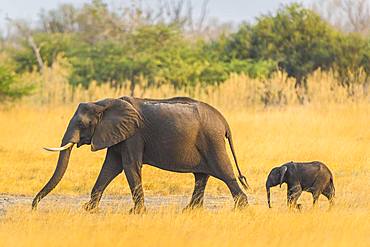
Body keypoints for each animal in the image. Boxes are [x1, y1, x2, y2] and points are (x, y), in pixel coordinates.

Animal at [31, 96, 249, 212]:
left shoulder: (133, 136)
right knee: (201, 176)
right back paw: (189, 211)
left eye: (82, 124)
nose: (34, 207)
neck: (103, 104)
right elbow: (110, 168)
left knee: (225, 173)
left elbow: (129, 167)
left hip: (212, 140)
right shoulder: (117, 135)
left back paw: (241, 208)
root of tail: (224, 121)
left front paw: (136, 213)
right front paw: (89, 209)